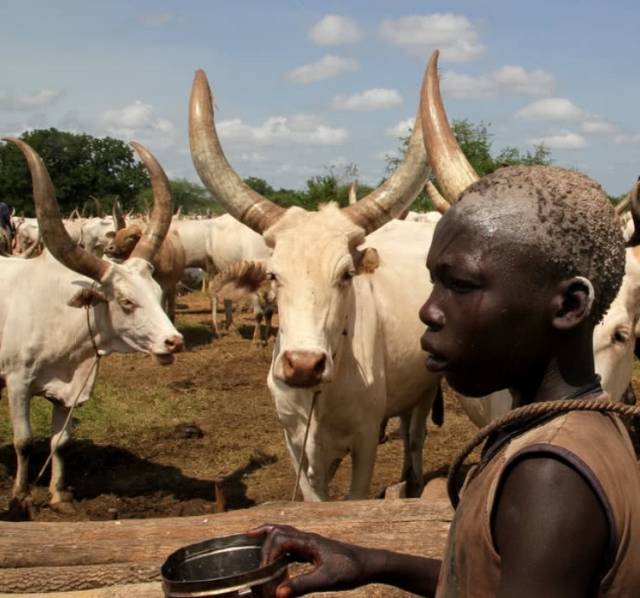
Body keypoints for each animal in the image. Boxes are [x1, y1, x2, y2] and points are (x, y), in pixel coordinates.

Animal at [0, 139, 184, 506]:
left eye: (157, 293)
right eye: (126, 301)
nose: (173, 341)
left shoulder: (67, 392)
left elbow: (60, 443)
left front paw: (58, 495)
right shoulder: (17, 382)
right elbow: (24, 441)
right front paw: (20, 496)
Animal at [190, 65, 440, 500]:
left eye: (346, 274)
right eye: (273, 275)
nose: (304, 364)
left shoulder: (365, 439)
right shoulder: (294, 441)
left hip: (426, 390)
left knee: (415, 435)